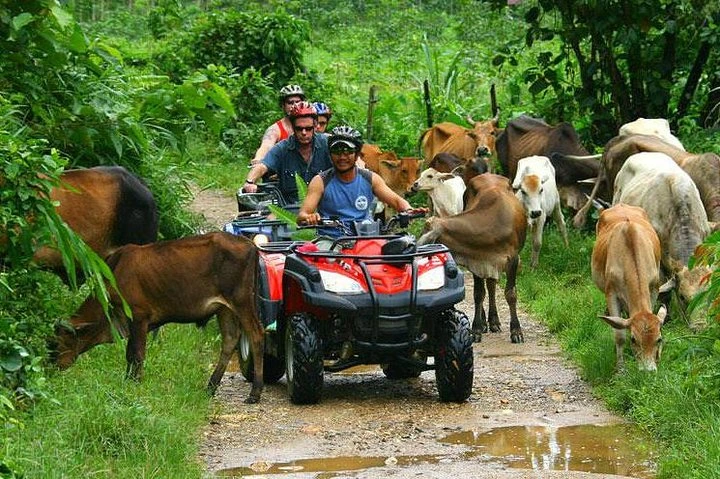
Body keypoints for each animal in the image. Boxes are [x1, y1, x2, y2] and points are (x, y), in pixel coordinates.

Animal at [53, 232, 266, 404]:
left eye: (57, 344)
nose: (51, 368)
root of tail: (250, 245)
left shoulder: (139, 317)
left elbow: (137, 354)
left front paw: (135, 383)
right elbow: (130, 353)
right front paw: (128, 380)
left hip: (242, 302)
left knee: (256, 335)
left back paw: (255, 393)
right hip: (224, 308)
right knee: (230, 339)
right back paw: (211, 386)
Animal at [416, 174, 528, 344]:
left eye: (426, 234)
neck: (492, 224)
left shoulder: (513, 260)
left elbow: (511, 294)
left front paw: (516, 330)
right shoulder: (475, 259)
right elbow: (478, 294)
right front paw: (476, 329)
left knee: (491, 285)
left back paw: (494, 321)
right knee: (488, 287)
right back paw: (486, 322)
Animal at [592, 204, 668, 374]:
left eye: (659, 339)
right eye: (633, 339)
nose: (648, 371)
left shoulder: (654, 288)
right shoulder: (611, 293)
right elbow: (619, 335)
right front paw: (620, 369)